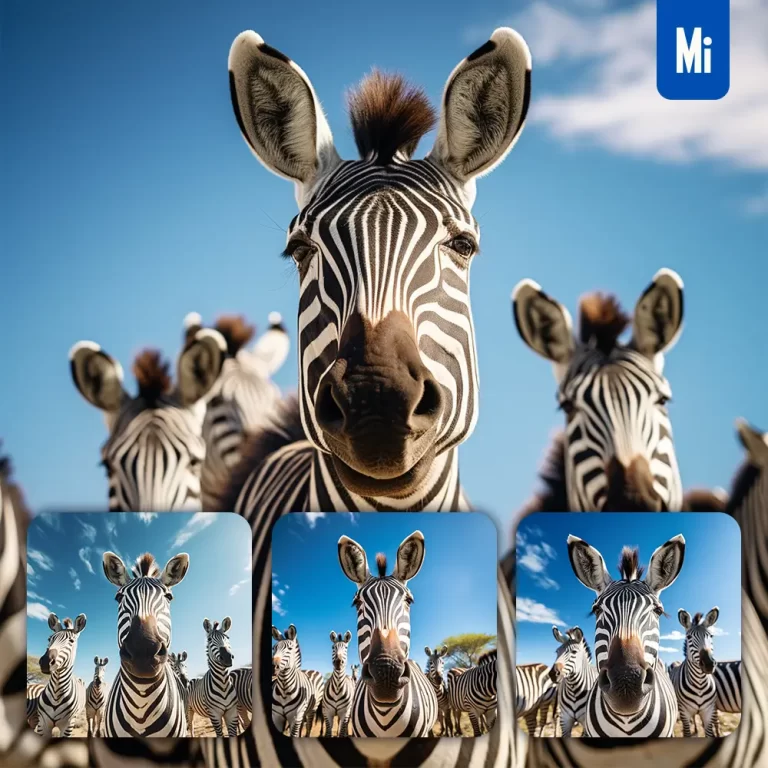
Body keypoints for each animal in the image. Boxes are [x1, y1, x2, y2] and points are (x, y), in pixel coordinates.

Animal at [669, 608, 721, 737]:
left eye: (711, 636)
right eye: (688, 637)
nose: (708, 664)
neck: (699, 684)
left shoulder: (708, 711)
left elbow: (709, 733)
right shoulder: (684, 712)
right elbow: (687, 733)